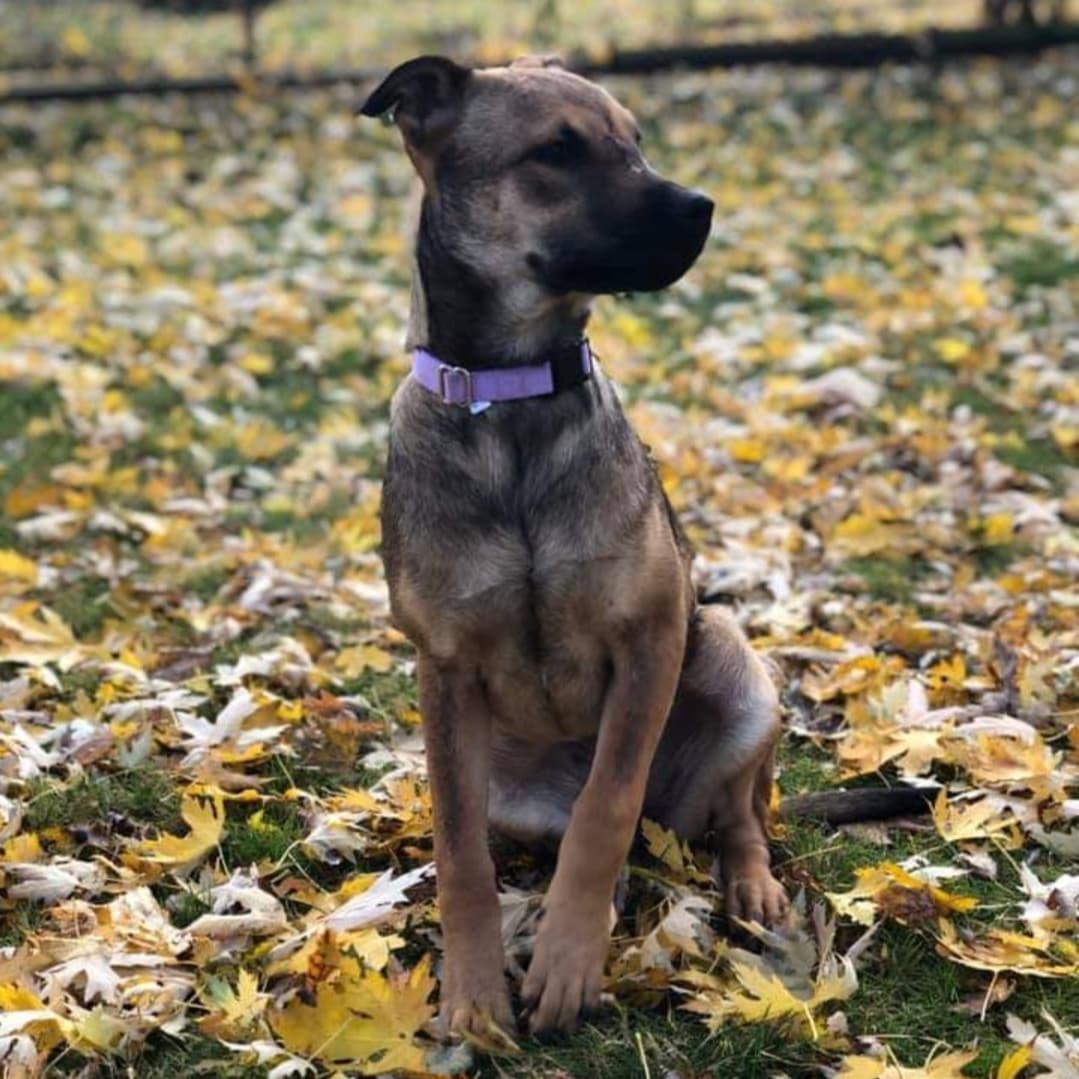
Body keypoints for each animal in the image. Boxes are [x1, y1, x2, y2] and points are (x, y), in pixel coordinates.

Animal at [356, 54, 794, 1040]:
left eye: (634, 139)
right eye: (554, 151)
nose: (702, 206)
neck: (512, 395)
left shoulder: (650, 635)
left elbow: (606, 803)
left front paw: (567, 958)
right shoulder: (442, 670)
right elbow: (461, 853)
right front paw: (474, 994)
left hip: (730, 659)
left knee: (735, 809)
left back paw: (746, 883)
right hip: (509, 783)